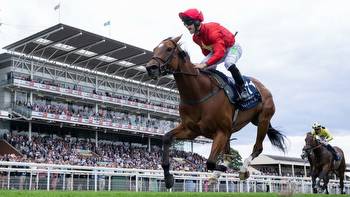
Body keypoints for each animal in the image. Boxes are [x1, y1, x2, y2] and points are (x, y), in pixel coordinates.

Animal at [146, 36, 286, 189]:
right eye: (154, 49)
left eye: (169, 49)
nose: (150, 68)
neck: (199, 94)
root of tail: (263, 88)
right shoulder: (191, 130)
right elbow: (166, 138)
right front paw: (168, 177)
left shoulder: (220, 131)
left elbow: (210, 162)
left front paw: (224, 170)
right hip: (236, 128)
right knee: (228, 154)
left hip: (263, 120)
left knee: (257, 148)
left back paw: (243, 170)